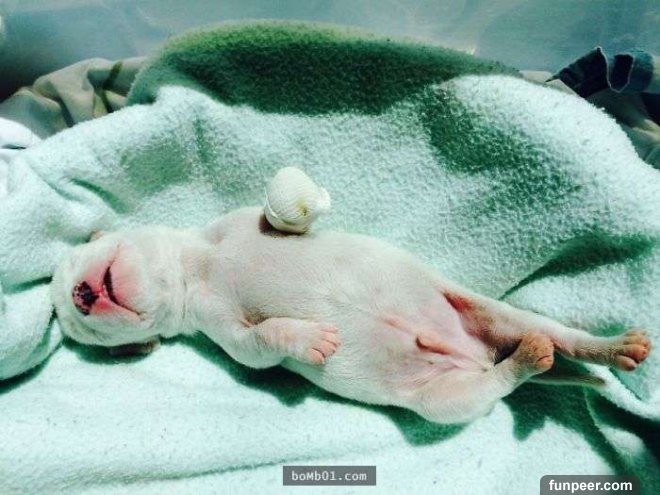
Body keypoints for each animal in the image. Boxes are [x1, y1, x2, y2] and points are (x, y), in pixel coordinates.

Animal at [51, 206, 651, 423]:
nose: (80, 295)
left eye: (76, 258)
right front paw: (310, 340)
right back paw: (527, 362)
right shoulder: (220, 330)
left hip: (488, 309)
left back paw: (613, 347)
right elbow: (259, 344)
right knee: (495, 384)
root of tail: (478, 354)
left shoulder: (232, 223)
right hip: (443, 402)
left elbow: (277, 218)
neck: (196, 269)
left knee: (554, 332)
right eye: (85, 332)